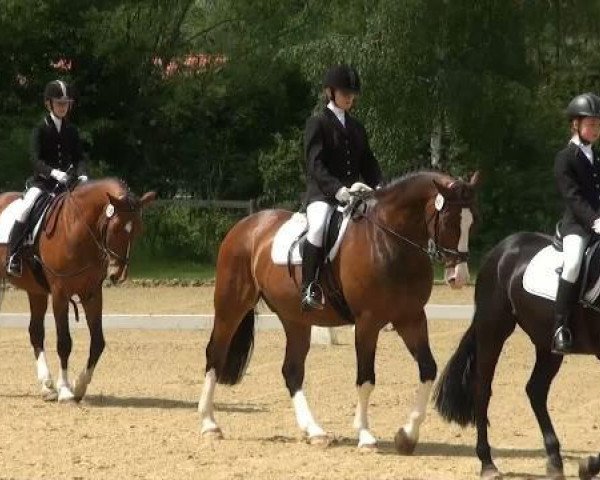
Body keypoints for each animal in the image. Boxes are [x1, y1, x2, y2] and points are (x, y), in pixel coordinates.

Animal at [0, 178, 157, 404]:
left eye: (138, 230)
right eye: (116, 227)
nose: (117, 274)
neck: (76, 229)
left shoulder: (92, 294)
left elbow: (98, 342)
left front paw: (79, 385)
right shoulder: (60, 294)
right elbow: (64, 342)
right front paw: (65, 390)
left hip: (36, 291)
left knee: (36, 332)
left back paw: (47, 387)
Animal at [199, 171, 480, 452]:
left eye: (472, 222)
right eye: (449, 220)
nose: (459, 278)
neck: (390, 241)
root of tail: (246, 225)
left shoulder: (410, 318)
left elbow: (428, 369)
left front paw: (407, 435)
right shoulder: (367, 322)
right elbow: (366, 379)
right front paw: (365, 436)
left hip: (295, 319)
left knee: (292, 370)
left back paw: (315, 431)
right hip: (231, 306)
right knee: (215, 354)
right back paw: (209, 424)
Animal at [434, 231, 600, 478]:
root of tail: (503, 247)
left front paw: (589, 465)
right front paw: (589, 466)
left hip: (546, 344)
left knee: (535, 390)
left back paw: (554, 460)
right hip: (493, 329)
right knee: (482, 389)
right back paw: (488, 464)